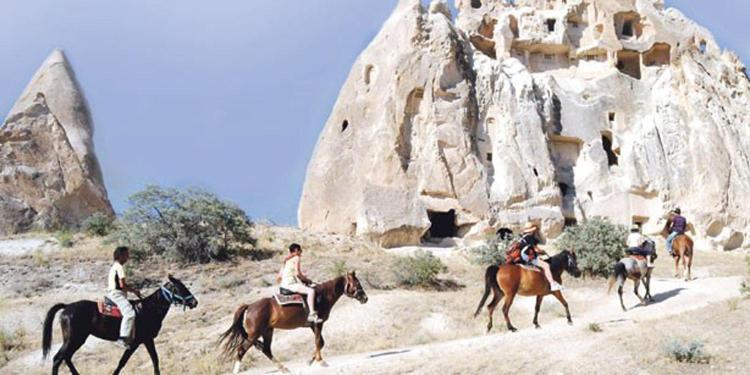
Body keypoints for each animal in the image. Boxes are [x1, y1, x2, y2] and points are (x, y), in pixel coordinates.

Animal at [42, 274, 198, 374]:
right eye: (180, 288)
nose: (194, 302)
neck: (149, 309)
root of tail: (66, 307)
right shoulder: (138, 342)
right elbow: (123, 362)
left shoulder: (147, 340)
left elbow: (154, 359)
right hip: (74, 339)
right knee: (58, 359)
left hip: (76, 339)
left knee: (66, 358)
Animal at [219, 272, 368, 374]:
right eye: (357, 284)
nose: (365, 298)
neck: (322, 296)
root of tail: (250, 306)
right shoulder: (318, 324)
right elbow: (318, 342)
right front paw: (321, 361)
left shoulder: (313, 326)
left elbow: (321, 342)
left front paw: (311, 360)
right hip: (254, 334)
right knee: (241, 350)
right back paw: (237, 371)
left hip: (267, 331)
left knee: (266, 349)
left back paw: (284, 368)